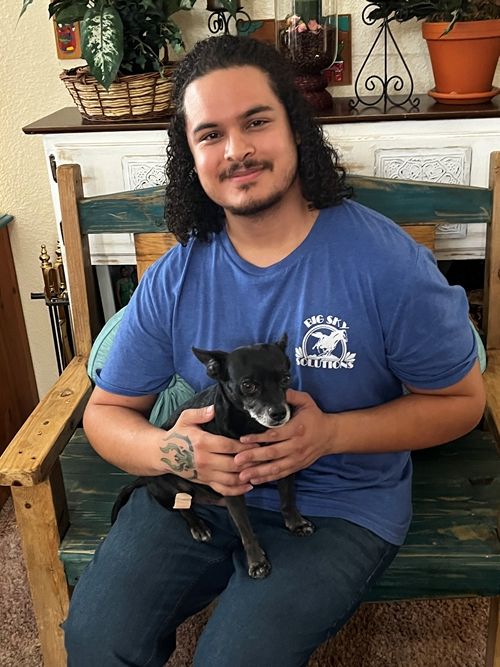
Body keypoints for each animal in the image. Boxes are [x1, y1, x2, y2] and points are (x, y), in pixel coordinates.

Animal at [111, 334, 315, 578]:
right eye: (248, 385)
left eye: (286, 378)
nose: (279, 413)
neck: (251, 426)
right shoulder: (230, 485)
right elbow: (246, 530)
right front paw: (256, 561)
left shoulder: (284, 465)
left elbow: (287, 499)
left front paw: (295, 523)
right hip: (168, 489)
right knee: (183, 509)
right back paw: (198, 526)